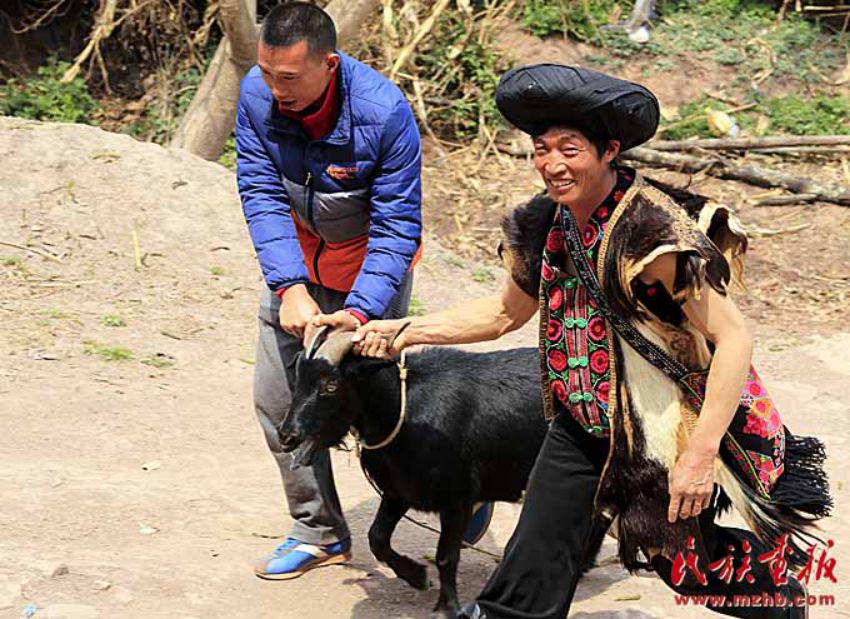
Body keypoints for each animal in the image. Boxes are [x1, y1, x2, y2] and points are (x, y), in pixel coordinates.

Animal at [278, 331, 563, 618]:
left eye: (331, 385)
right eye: (298, 379)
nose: (286, 435)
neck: (402, 410)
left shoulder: (457, 499)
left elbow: (445, 556)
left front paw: (446, 608)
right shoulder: (398, 492)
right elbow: (377, 538)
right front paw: (416, 576)